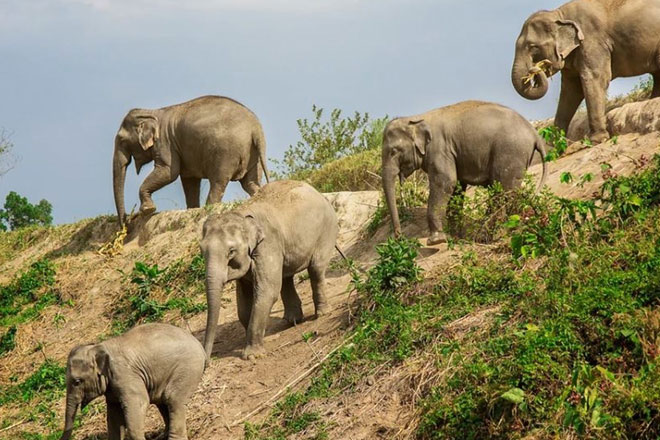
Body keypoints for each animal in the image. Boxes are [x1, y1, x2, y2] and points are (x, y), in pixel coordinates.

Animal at [58, 324, 205, 440]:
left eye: (77, 381)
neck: (97, 347)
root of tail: (198, 344)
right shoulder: (112, 387)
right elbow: (114, 414)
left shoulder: (124, 374)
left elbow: (139, 402)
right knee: (163, 401)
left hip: (188, 367)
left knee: (173, 398)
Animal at [112, 95, 270, 229]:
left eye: (122, 141)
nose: (126, 222)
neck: (152, 112)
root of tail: (256, 128)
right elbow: (189, 180)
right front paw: (192, 208)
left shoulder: (165, 143)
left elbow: (169, 172)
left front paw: (147, 210)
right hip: (253, 154)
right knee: (250, 183)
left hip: (226, 153)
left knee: (218, 182)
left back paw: (209, 207)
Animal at [199, 179, 338, 360]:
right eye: (201, 250)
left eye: (231, 251)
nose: (207, 362)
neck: (241, 213)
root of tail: (319, 193)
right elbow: (243, 300)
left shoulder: (267, 245)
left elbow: (267, 291)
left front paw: (251, 355)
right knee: (286, 278)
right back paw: (291, 321)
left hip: (326, 231)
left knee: (315, 269)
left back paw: (322, 314)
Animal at [378, 100, 548, 248]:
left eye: (393, 151)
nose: (399, 237)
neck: (415, 118)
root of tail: (535, 133)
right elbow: (456, 187)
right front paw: (455, 236)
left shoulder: (440, 150)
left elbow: (446, 182)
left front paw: (436, 241)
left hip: (510, 153)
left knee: (504, 189)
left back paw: (499, 233)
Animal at [512, 0, 660, 143]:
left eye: (533, 47)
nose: (536, 69)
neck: (559, 14)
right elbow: (571, 90)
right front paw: (554, 144)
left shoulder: (592, 42)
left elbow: (595, 78)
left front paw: (597, 140)